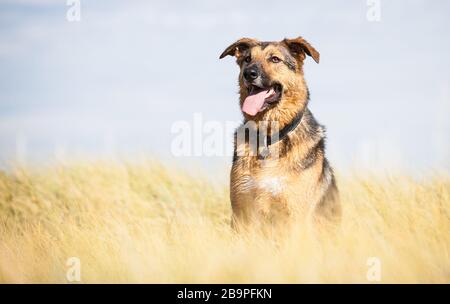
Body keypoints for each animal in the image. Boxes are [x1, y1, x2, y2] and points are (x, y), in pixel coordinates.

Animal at [219, 36, 342, 230]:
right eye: (247, 59)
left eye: (275, 59)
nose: (249, 73)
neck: (269, 138)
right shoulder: (242, 212)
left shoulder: (296, 214)